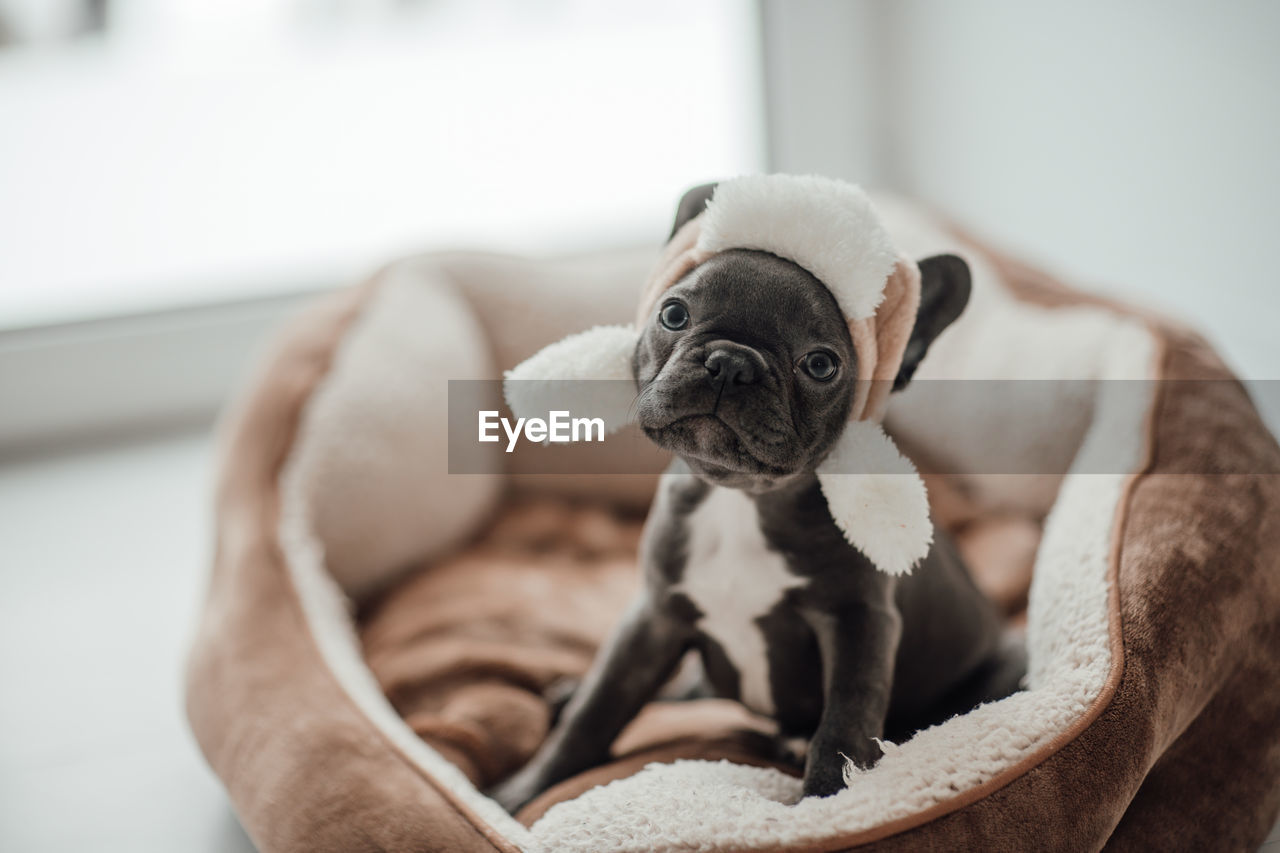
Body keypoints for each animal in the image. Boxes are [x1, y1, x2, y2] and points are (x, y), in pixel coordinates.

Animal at [494, 179, 1024, 809]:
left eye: (820, 364)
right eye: (673, 313)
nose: (730, 362)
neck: (740, 498)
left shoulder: (859, 622)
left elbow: (844, 724)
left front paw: (826, 805)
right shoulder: (654, 616)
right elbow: (598, 710)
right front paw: (518, 794)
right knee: (684, 689)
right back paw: (569, 694)